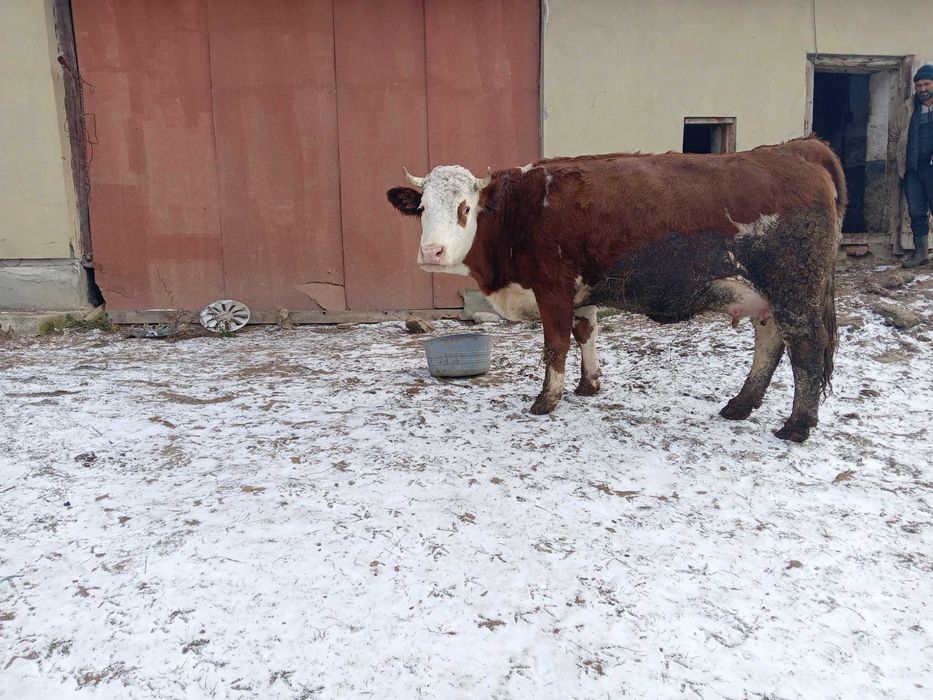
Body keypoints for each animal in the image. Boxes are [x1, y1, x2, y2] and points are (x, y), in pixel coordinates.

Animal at [387, 137, 845, 442]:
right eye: (422, 208)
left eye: (465, 208)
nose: (431, 252)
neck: (521, 210)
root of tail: (794, 149)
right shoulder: (581, 291)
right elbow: (585, 332)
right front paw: (589, 385)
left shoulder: (552, 287)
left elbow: (556, 344)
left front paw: (547, 400)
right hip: (766, 297)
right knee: (770, 342)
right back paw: (740, 405)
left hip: (795, 291)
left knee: (806, 350)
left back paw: (797, 425)